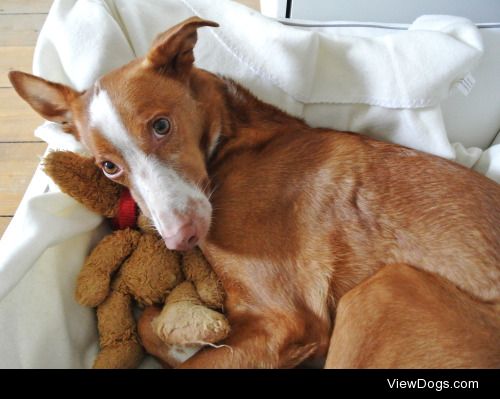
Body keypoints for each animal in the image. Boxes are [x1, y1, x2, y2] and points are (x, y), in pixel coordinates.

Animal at [8, 18, 500, 368]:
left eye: (161, 125)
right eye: (109, 167)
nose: (180, 239)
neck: (232, 143)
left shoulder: (282, 322)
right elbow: (151, 328)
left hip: (382, 292)